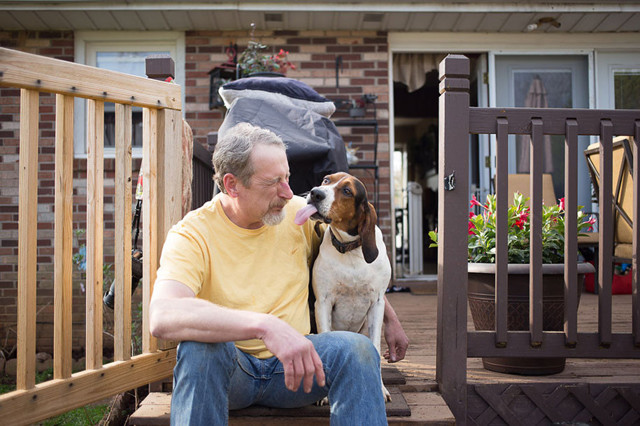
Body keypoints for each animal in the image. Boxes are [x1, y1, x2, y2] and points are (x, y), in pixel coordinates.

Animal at [294, 171, 392, 402]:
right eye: (326, 180)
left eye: (347, 191)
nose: (315, 193)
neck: (350, 250)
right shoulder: (323, 302)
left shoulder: (377, 304)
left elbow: (375, 347)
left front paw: (380, 388)